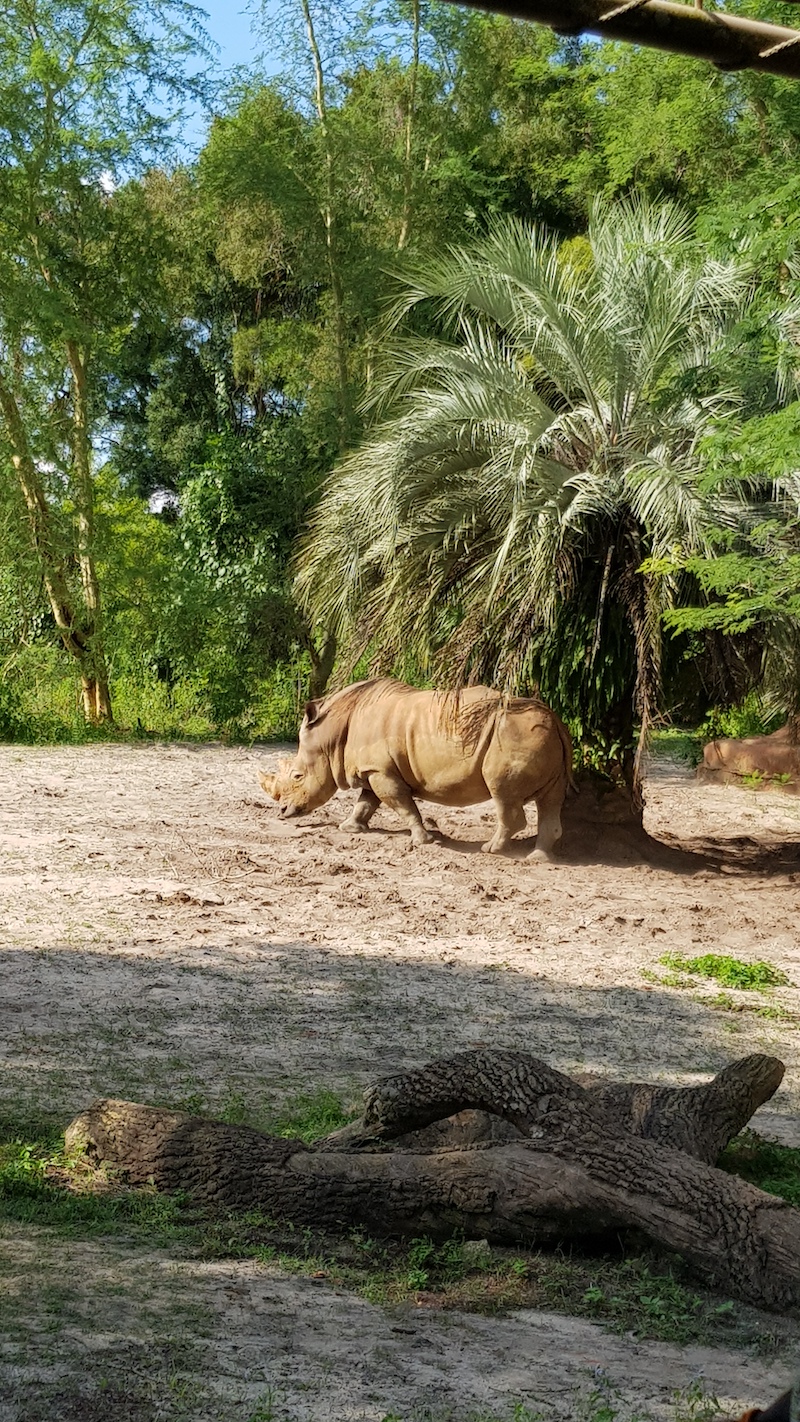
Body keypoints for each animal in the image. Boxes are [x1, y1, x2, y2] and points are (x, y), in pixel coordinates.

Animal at [258, 678, 575, 862]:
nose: (283, 812)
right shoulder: (375, 769)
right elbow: (366, 802)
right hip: (539, 736)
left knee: (503, 795)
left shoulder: (381, 771)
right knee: (550, 800)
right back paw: (538, 859)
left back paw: (491, 850)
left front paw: (423, 840)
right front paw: (349, 828)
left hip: (512, 735)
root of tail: (554, 718)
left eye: (298, 776)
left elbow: (401, 804)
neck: (332, 735)